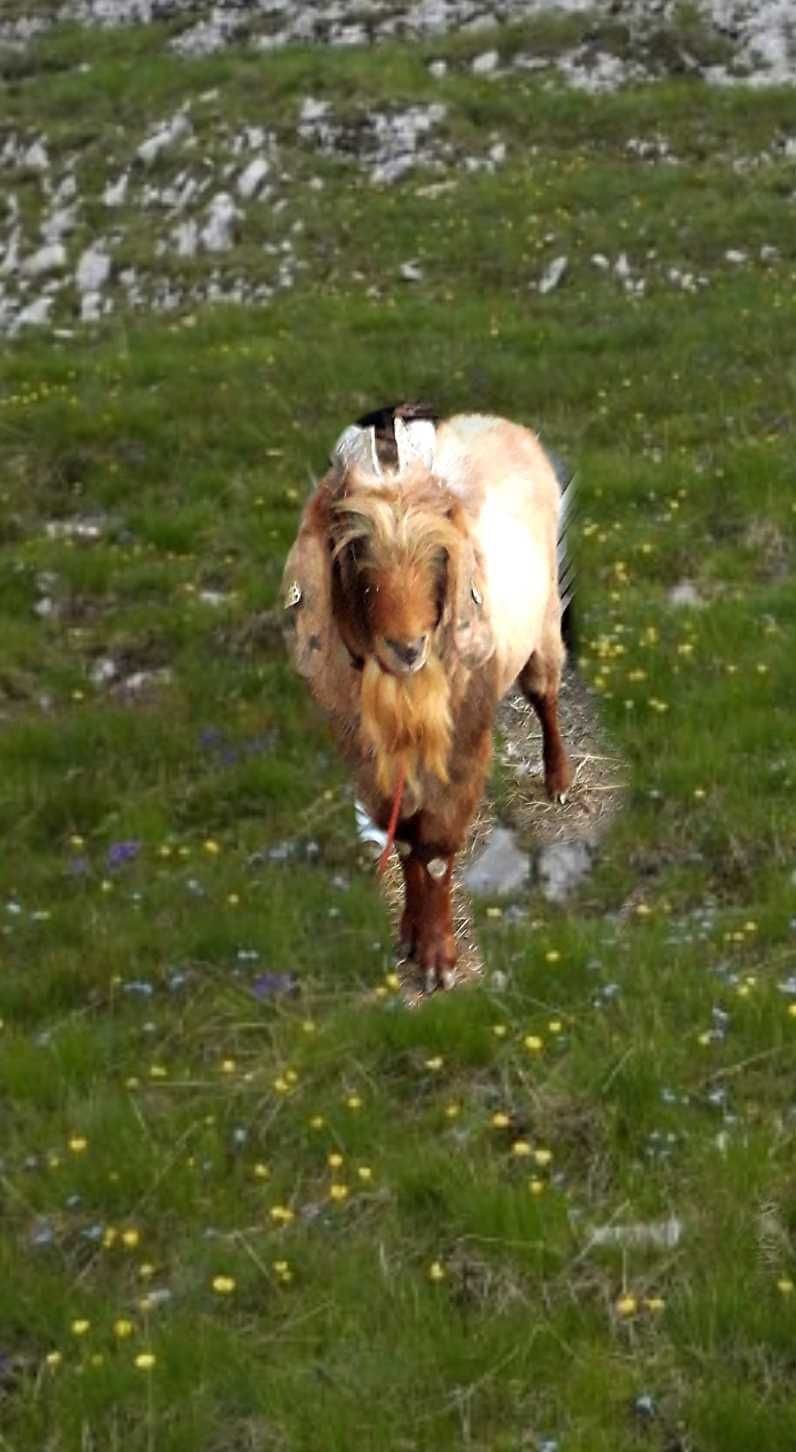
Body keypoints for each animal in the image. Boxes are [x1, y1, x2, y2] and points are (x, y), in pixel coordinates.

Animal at [282, 404, 573, 991]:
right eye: (354, 545)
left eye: (442, 546)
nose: (407, 646)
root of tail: (499, 423)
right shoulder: (366, 754)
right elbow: (407, 845)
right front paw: (411, 936)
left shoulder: (461, 747)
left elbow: (435, 851)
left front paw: (439, 959)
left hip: (545, 624)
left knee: (545, 696)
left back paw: (558, 779)